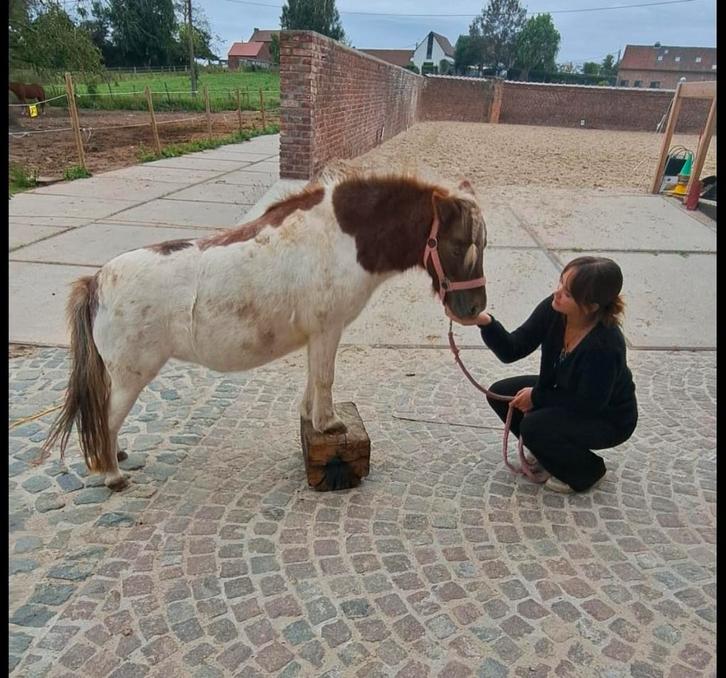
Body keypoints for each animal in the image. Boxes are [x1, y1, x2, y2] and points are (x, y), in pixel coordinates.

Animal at [43, 170, 489, 491]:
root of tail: (96, 282)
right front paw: (329, 424)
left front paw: (312, 419)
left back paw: (117, 457)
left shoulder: (318, 335)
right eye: (456, 244)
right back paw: (112, 474)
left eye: (482, 245)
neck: (340, 237)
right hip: (131, 377)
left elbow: (312, 379)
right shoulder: (328, 330)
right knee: (107, 417)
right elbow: (325, 378)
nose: (474, 309)